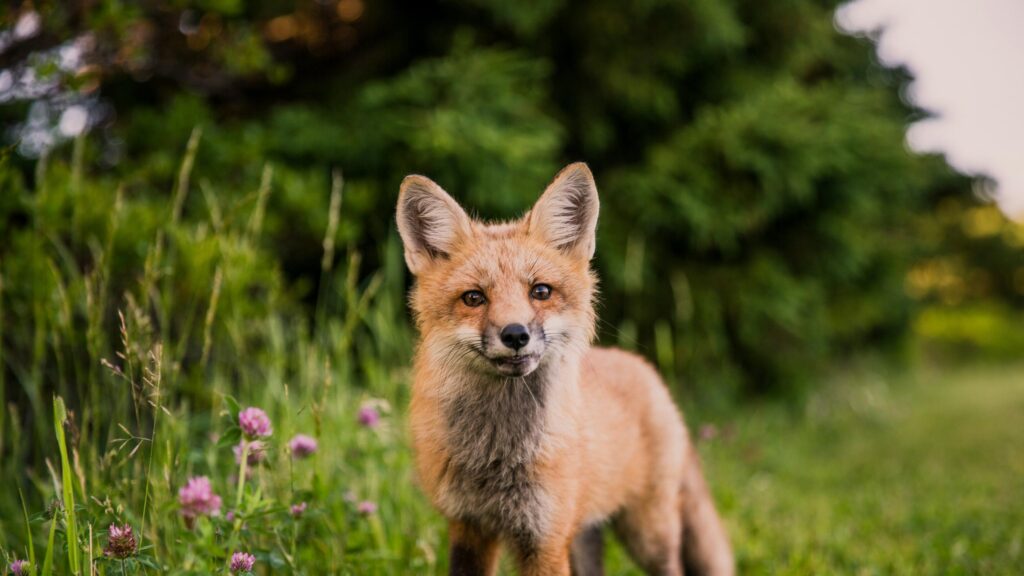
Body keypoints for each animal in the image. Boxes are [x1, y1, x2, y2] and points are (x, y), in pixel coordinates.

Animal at [396, 162, 734, 576]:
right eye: (474, 298)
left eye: (540, 292)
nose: (515, 334)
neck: (498, 454)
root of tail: (643, 367)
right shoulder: (468, 528)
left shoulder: (545, 538)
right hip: (585, 535)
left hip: (648, 534)